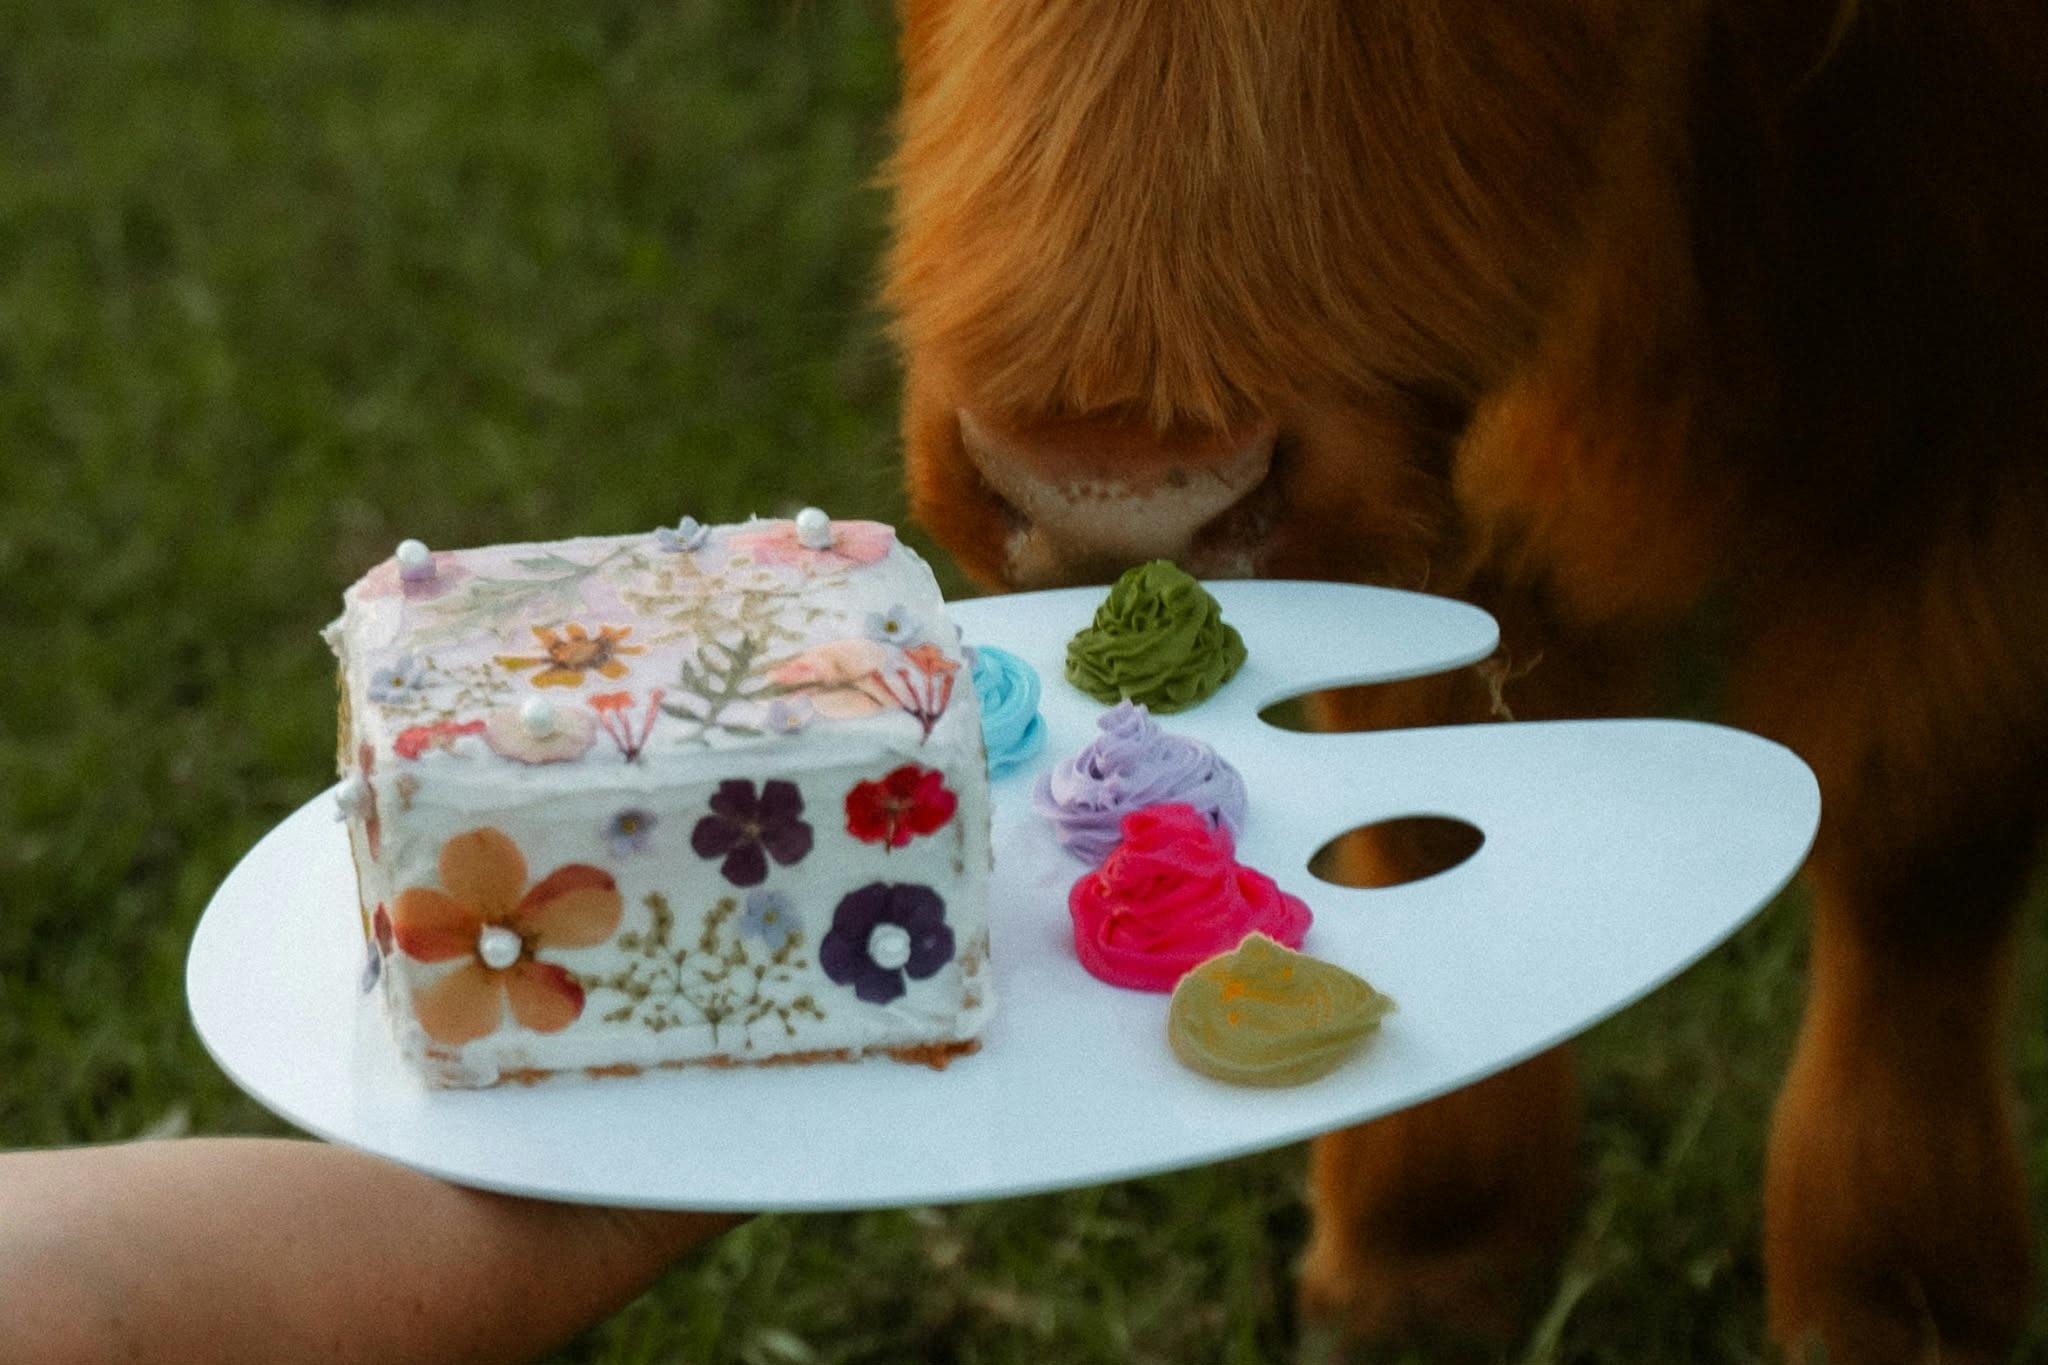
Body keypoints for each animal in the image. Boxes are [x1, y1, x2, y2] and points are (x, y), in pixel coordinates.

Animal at [882, 1, 2048, 1361]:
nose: (1106, 500)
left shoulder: (1984, 390)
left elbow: (1922, 831)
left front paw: (1894, 1293)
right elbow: (1424, 794)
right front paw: (1424, 1256)